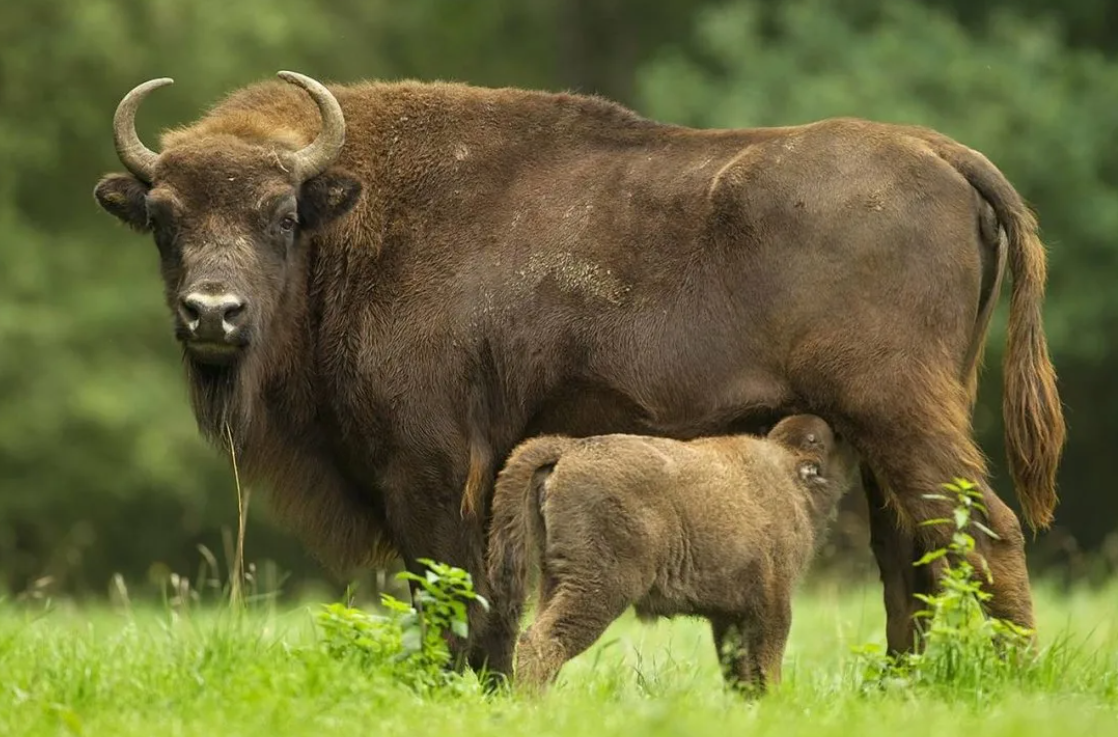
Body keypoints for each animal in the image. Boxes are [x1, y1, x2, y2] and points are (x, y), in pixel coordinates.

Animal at [485, 416, 858, 697]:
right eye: (830, 439)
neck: (790, 474)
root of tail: (571, 448)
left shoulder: (729, 616)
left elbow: (738, 668)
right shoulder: (773, 603)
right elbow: (767, 661)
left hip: (555, 580)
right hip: (599, 587)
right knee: (541, 641)